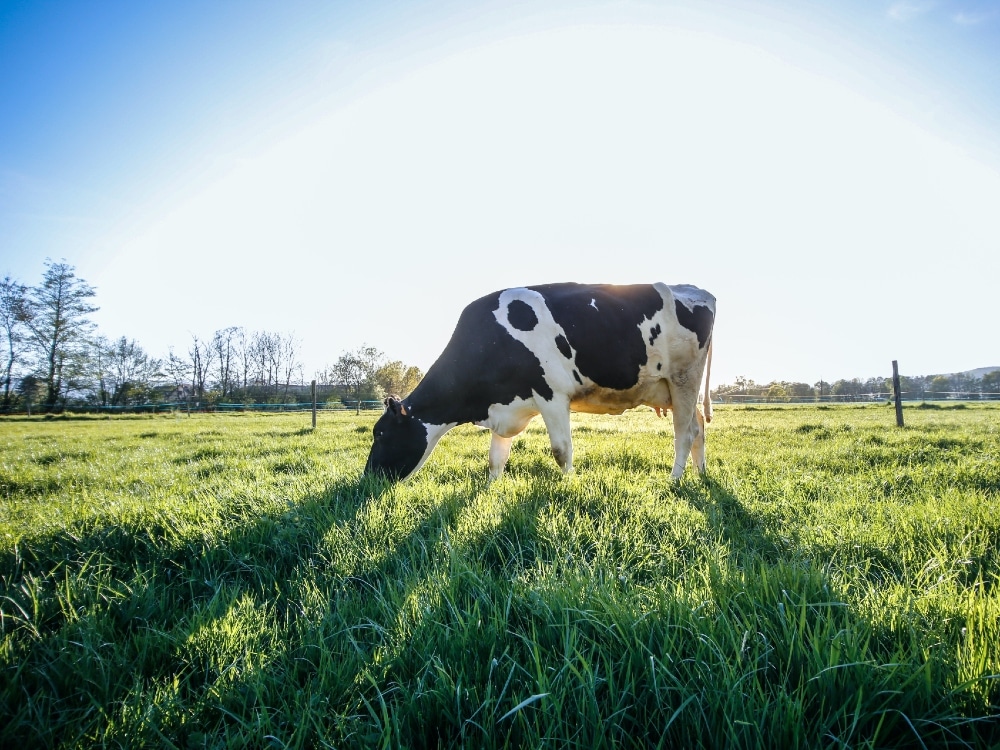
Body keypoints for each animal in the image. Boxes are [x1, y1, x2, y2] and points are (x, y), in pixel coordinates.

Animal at [364, 284, 716, 484]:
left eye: (380, 434)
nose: (367, 479)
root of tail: (696, 290)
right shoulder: (505, 405)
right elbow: (495, 458)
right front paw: (491, 489)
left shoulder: (552, 395)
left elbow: (561, 450)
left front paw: (569, 485)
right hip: (674, 388)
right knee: (698, 427)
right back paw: (700, 474)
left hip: (683, 379)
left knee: (684, 433)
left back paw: (674, 480)